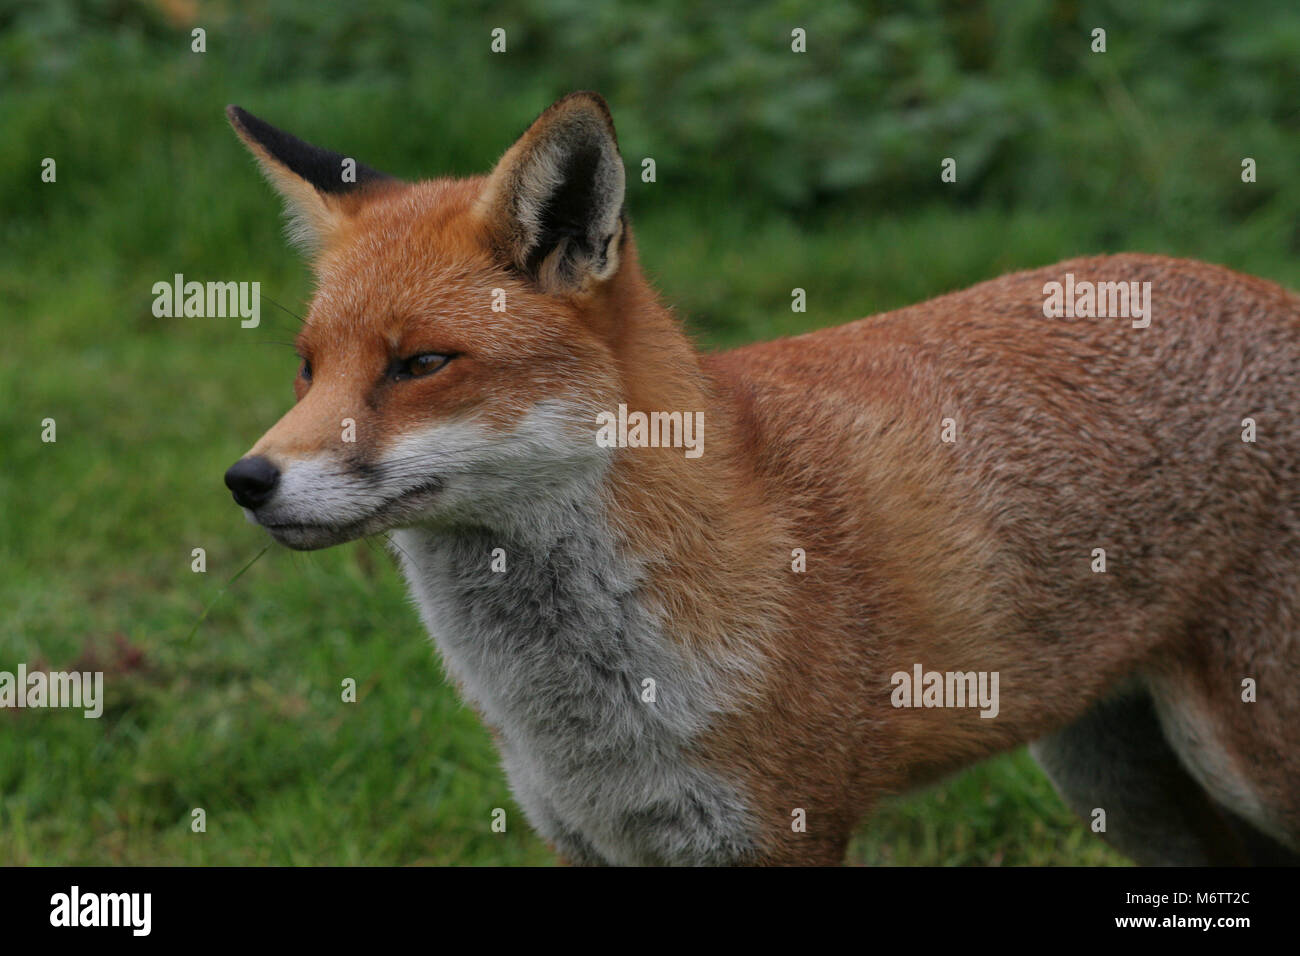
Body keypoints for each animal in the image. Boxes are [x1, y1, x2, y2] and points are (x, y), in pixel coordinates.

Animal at [223, 91, 1300, 868]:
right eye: (307, 367)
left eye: (420, 365)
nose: (246, 478)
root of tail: (1267, 291)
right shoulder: (589, 836)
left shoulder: (778, 827)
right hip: (1116, 782)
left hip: (1243, 759)